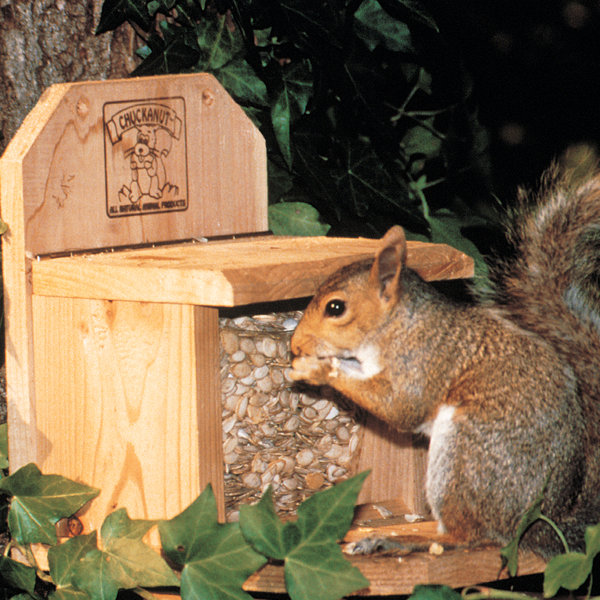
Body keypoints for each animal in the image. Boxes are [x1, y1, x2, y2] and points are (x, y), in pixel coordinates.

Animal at [288, 170, 600, 556]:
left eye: (335, 307)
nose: (295, 344)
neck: (398, 326)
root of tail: (537, 528)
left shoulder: (424, 361)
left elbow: (401, 407)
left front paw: (317, 369)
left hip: (464, 455)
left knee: (467, 536)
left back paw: (402, 538)